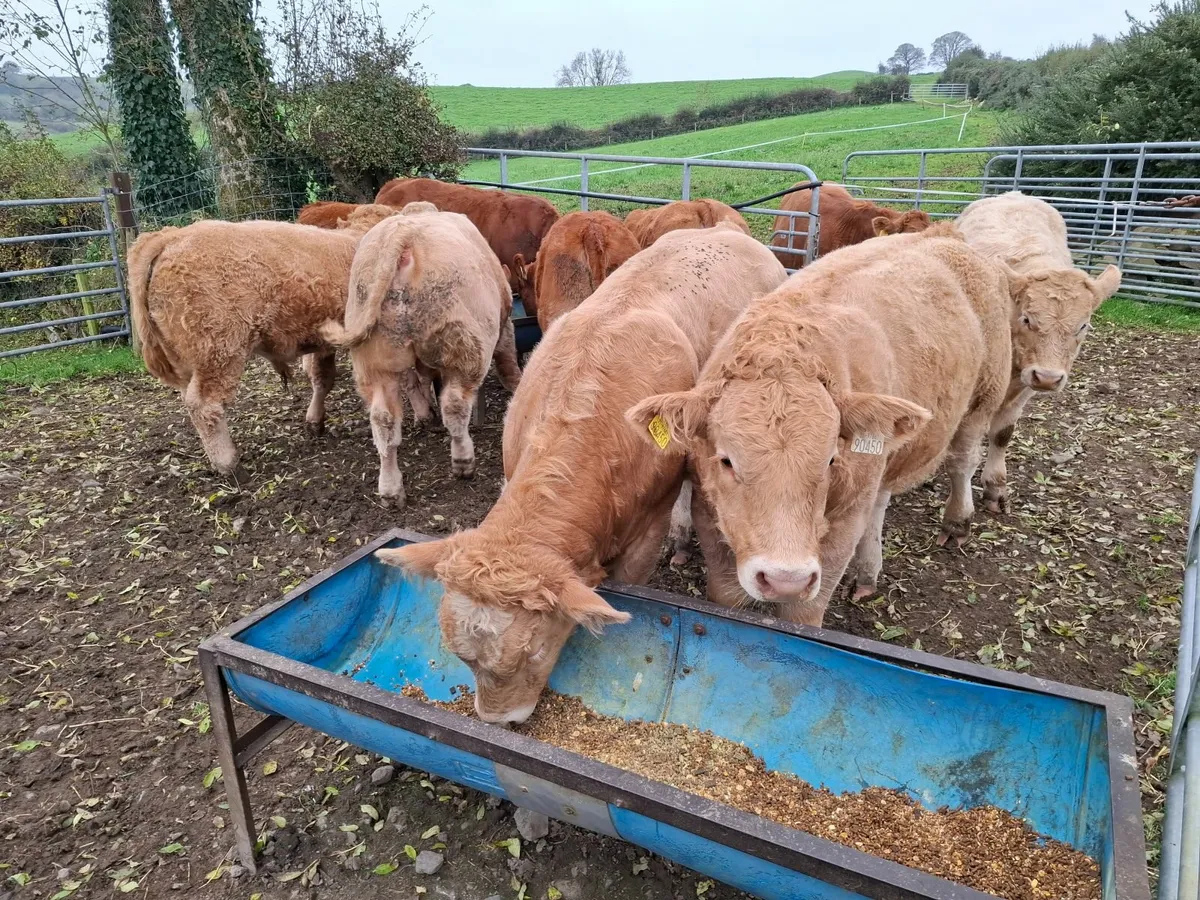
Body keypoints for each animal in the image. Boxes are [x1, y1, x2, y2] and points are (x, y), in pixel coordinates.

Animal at [127, 204, 399, 478]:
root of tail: (172, 236)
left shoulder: (324, 342)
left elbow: (322, 378)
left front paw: (315, 421)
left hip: (186, 359)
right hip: (219, 352)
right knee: (205, 405)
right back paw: (228, 463)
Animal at [320, 202, 521, 504]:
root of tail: (402, 236)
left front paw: (425, 413)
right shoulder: (504, 327)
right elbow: (508, 363)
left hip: (375, 360)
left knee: (384, 419)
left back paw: (391, 490)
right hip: (463, 346)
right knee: (454, 405)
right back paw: (463, 462)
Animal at [628, 224, 1014, 628]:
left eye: (830, 460)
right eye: (727, 460)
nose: (785, 579)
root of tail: (944, 234)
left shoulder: (842, 527)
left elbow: (802, 615)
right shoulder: (712, 515)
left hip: (985, 394)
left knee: (963, 461)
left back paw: (957, 521)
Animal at [955, 191, 1122, 513]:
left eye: (1083, 325)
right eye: (1028, 319)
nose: (1047, 378)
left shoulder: (1024, 385)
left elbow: (1003, 433)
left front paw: (996, 487)